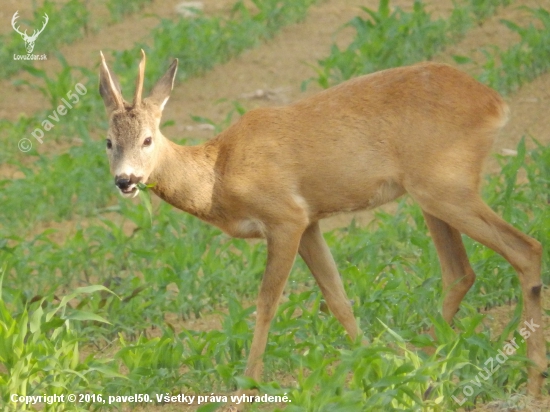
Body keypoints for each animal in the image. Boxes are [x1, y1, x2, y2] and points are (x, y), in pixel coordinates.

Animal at [99, 49, 548, 402]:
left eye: (148, 138)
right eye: (108, 141)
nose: (125, 180)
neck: (217, 175)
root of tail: (495, 103)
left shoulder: (284, 217)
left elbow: (266, 304)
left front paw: (246, 391)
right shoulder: (310, 222)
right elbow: (338, 298)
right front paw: (374, 369)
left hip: (444, 186)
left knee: (525, 249)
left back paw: (529, 384)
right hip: (431, 194)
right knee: (460, 272)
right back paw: (425, 376)